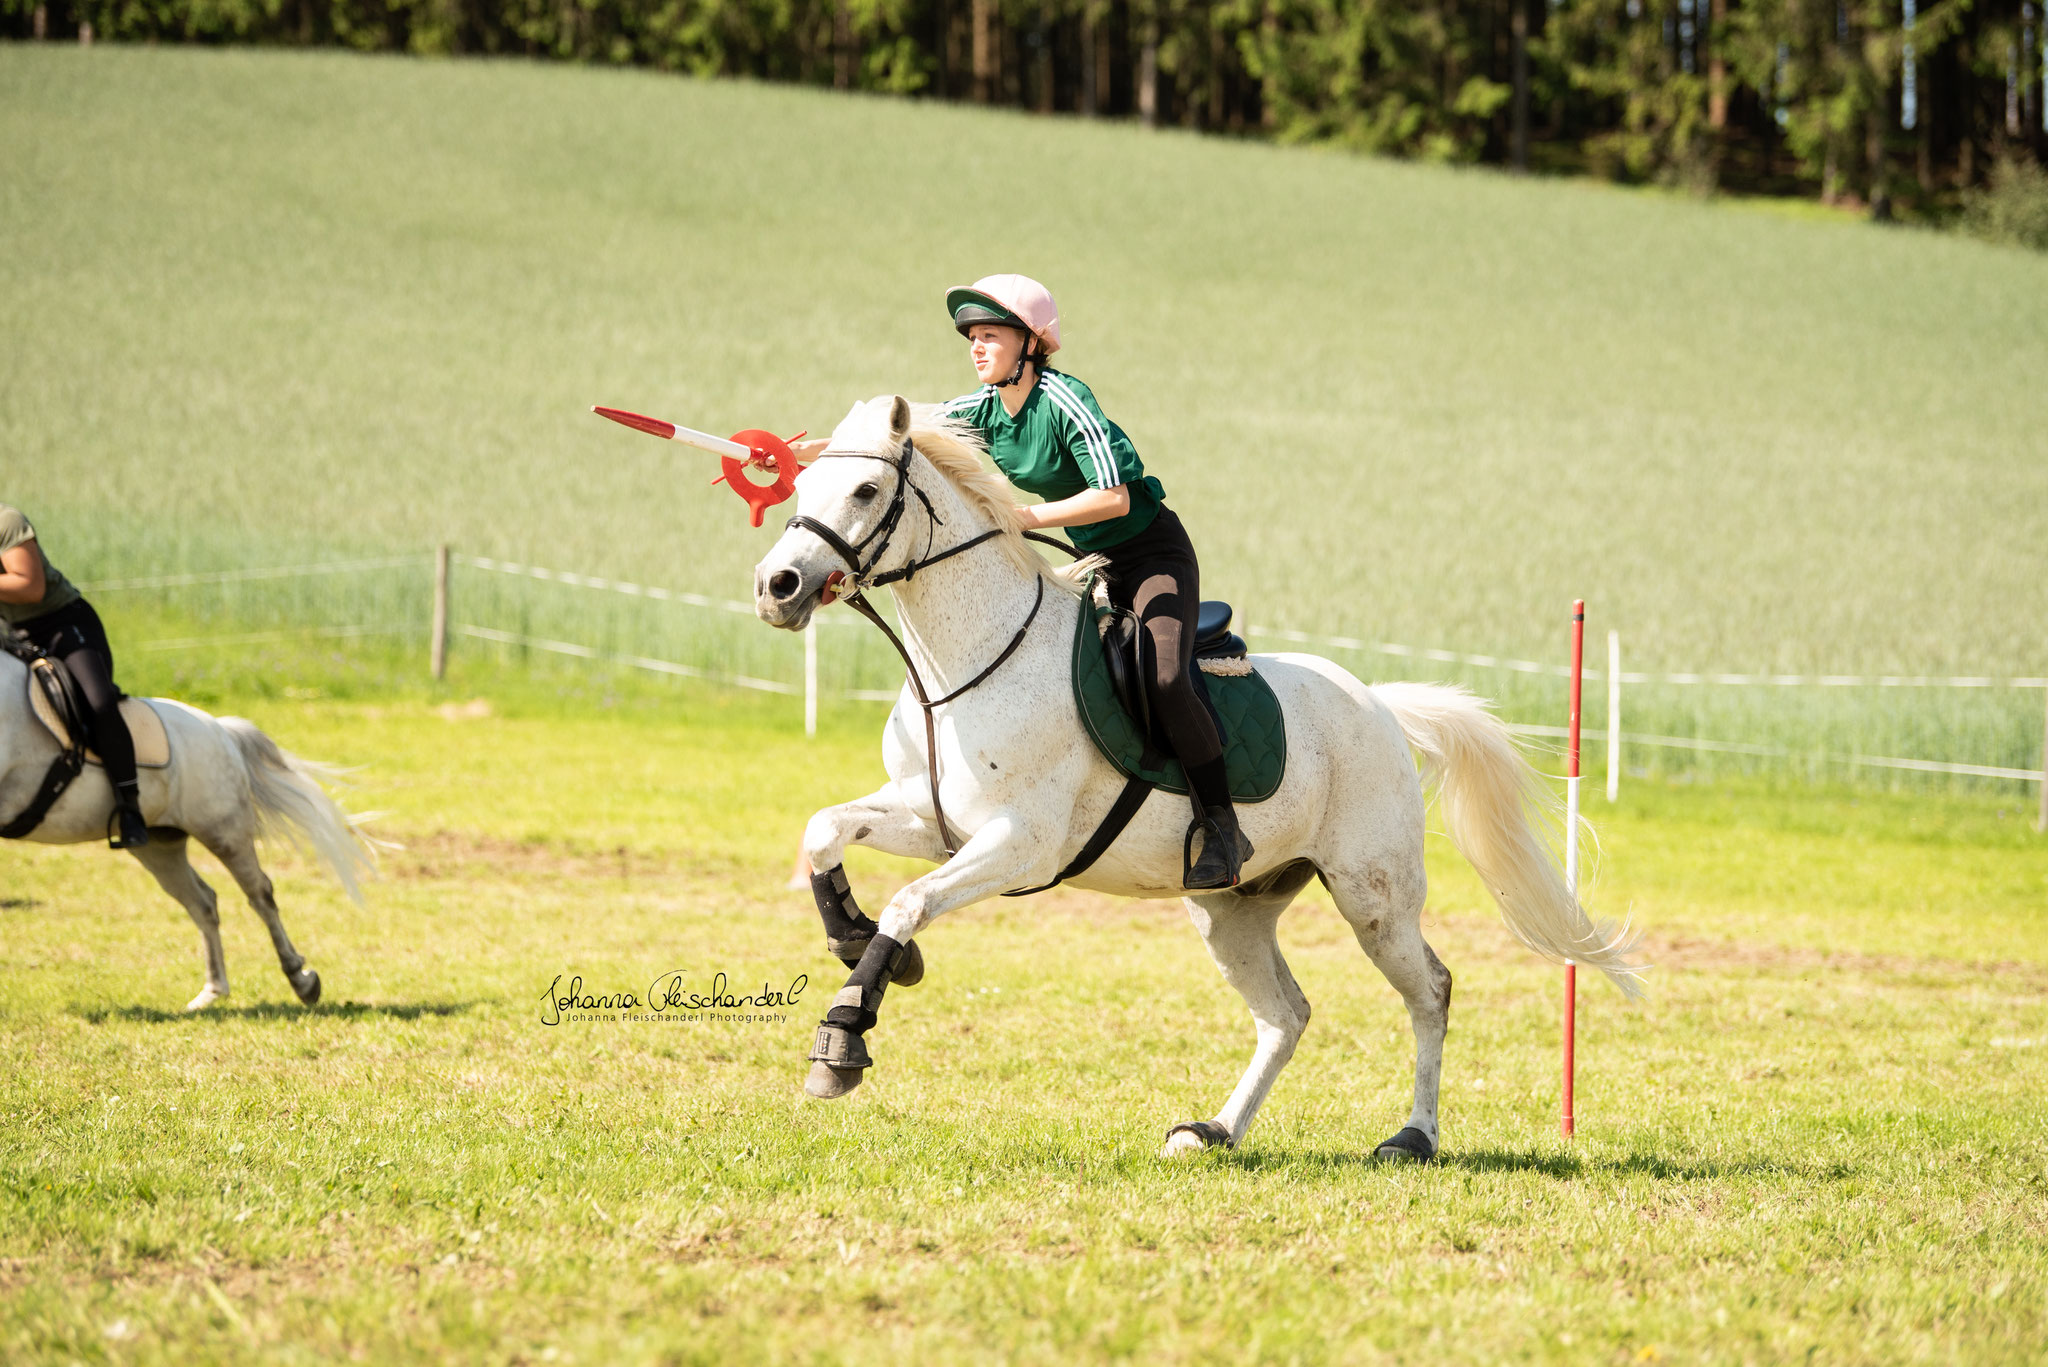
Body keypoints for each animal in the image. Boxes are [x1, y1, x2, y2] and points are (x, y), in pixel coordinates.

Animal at [1, 655, 368, 1012]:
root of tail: (221, 729)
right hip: (158, 844)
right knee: (202, 902)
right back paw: (212, 991)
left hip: (223, 831)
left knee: (260, 896)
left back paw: (301, 980)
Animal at [757, 397, 1646, 1164]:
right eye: (798, 487)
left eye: (865, 490)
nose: (777, 588)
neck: (970, 659)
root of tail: (1381, 705)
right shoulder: (933, 818)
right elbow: (823, 830)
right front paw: (853, 938)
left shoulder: (1021, 846)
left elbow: (908, 902)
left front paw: (844, 1036)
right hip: (1232, 909)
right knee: (1286, 1015)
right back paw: (1215, 1129)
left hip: (1374, 896)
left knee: (1429, 990)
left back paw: (1412, 1137)